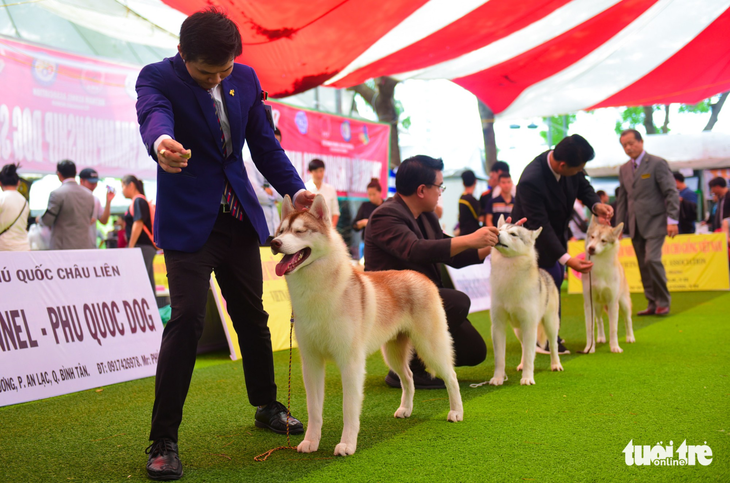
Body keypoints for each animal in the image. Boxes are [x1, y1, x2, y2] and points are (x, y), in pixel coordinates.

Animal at [268, 195, 460, 456]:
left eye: (299, 232)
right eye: (281, 231)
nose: (274, 243)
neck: (317, 292)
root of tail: (421, 277)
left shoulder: (350, 363)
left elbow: (349, 409)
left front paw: (347, 444)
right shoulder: (312, 362)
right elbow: (314, 410)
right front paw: (311, 441)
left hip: (430, 346)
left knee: (451, 375)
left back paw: (456, 412)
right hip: (393, 353)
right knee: (408, 377)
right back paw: (406, 409)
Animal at [490, 216, 564, 386]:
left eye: (513, 234)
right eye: (500, 229)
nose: (496, 233)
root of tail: (545, 273)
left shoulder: (529, 325)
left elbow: (531, 356)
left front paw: (527, 378)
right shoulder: (498, 326)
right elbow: (500, 358)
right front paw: (498, 378)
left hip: (550, 324)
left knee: (553, 346)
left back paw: (556, 364)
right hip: (518, 330)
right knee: (524, 347)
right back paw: (522, 364)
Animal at [580, 217, 632, 354]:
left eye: (603, 240)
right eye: (592, 237)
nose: (591, 248)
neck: (600, 266)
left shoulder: (613, 303)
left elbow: (613, 329)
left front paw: (615, 347)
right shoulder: (589, 304)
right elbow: (590, 329)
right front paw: (589, 348)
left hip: (624, 304)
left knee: (628, 320)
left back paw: (630, 338)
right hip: (597, 307)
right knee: (599, 321)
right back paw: (601, 338)